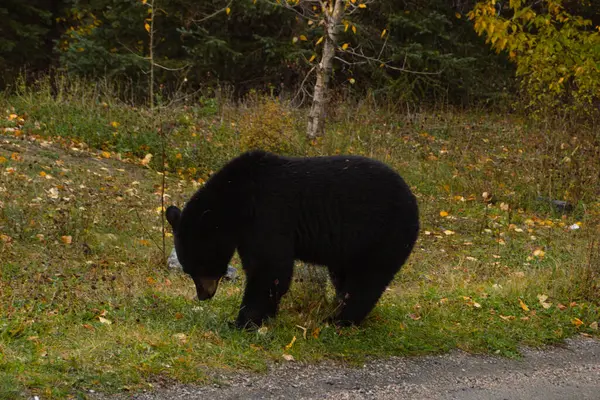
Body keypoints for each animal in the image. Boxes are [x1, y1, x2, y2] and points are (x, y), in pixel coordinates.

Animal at [164, 150, 418, 328]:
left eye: (197, 267)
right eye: (188, 270)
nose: (203, 295)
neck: (239, 202)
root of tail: (414, 201)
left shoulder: (269, 215)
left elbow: (270, 269)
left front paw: (242, 322)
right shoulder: (247, 232)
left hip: (381, 236)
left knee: (366, 281)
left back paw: (339, 320)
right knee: (344, 276)